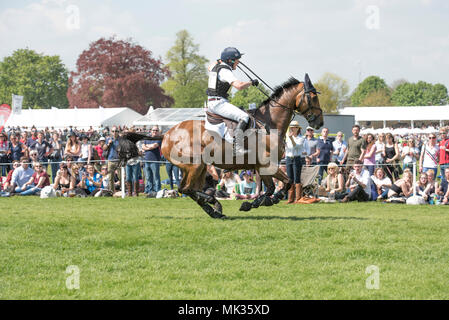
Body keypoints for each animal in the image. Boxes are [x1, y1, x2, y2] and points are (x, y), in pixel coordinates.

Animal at [119, 74, 322, 219]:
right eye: (313, 97)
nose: (319, 122)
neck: (269, 124)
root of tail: (167, 134)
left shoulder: (262, 167)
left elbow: (276, 186)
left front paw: (257, 202)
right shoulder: (267, 165)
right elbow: (283, 184)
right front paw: (257, 203)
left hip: (198, 168)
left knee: (188, 189)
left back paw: (214, 210)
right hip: (195, 165)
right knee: (185, 189)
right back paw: (213, 203)